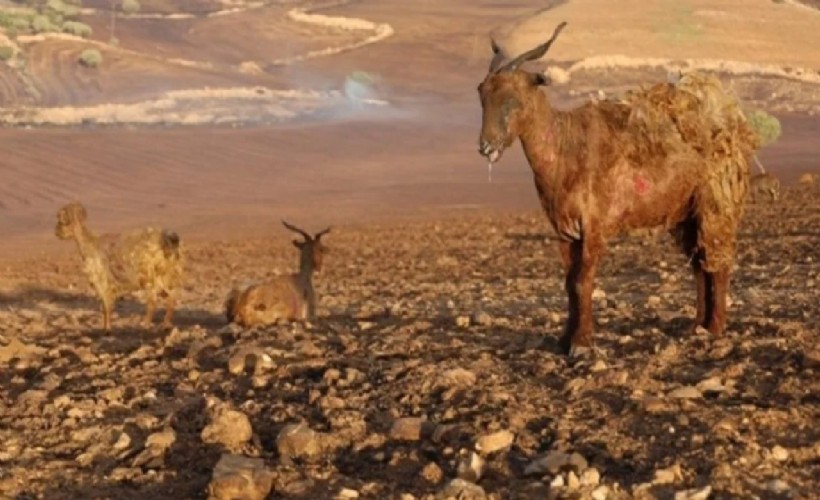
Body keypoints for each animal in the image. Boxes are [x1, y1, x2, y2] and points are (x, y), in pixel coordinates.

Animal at [478, 21, 760, 354]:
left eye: (513, 97)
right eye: (482, 93)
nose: (486, 147)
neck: (565, 146)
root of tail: (732, 126)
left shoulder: (595, 226)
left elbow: (582, 282)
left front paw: (581, 343)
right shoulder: (565, 230)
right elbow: (569, 283)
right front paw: (564, 340)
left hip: (716, 205)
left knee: (719, 261)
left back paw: (715, 328)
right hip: (686, 214)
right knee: (700, 264)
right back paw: (697, 327)